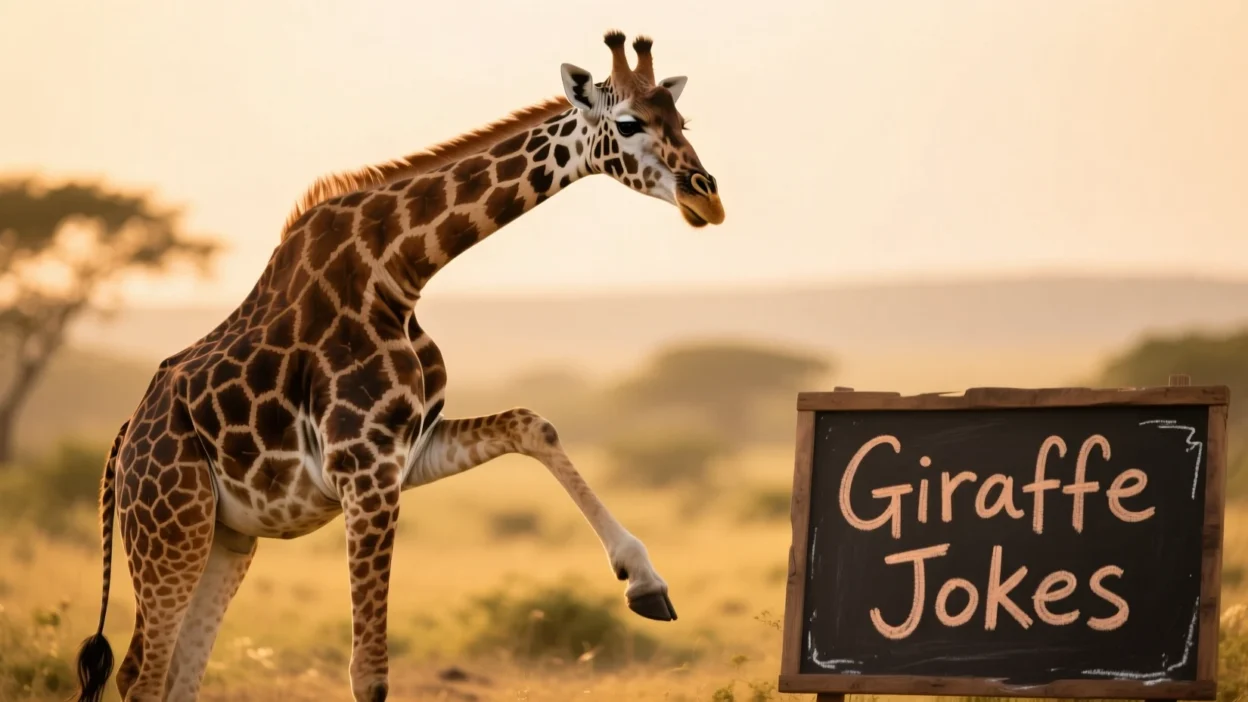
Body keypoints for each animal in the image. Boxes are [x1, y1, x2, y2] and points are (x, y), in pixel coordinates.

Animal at [72, 30, 723, 702]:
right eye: (628, 123)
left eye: (682, 120)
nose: (707, 196)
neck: (398, 271)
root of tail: (123, 445)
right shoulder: (362, 470)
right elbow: (370, 676)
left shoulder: (408, 453)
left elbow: (532, 424)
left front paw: (645, 581)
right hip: (170, 527)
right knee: (141, 673)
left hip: (226, 537)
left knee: (175, 675)